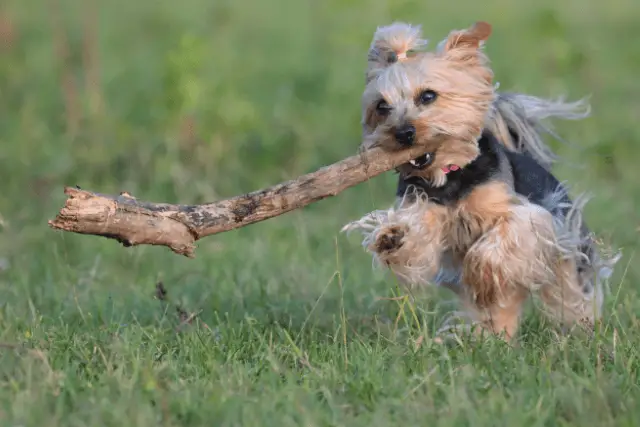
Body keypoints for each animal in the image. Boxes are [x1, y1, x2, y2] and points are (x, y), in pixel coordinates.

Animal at [344, 21, 620, 342]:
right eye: (381, 106)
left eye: (428, 96)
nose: (403, 133)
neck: (449, 176)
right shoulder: (426, 209)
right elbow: (418, 234)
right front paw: (393, 235)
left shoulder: (527, 217)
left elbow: (502, 237)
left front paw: (481, 271)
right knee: (498, 311)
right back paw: (489, 337)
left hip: (566, 253)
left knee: (571, 294)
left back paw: (581, 330)